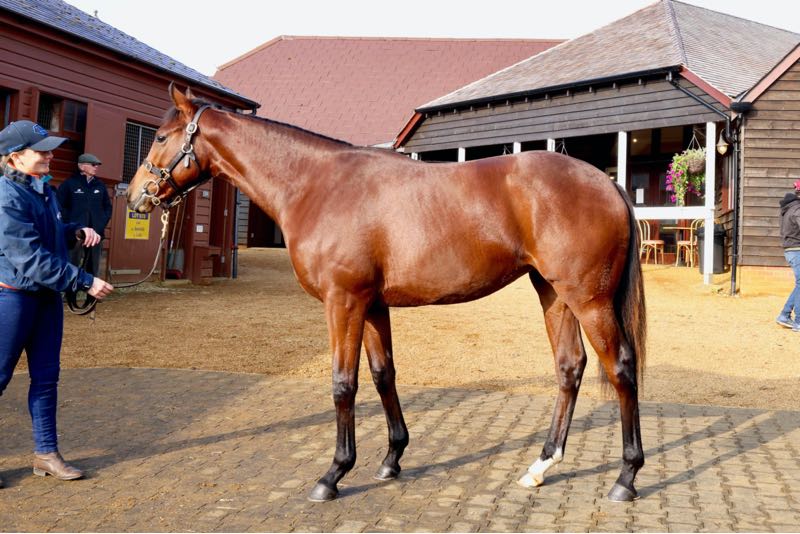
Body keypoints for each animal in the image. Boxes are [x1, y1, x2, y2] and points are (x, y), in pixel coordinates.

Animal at [128, 84, 647, 503]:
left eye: (160, 137)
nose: (135, 196)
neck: (317, 185)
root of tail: (607, 183)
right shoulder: (373, 304)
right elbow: (383, 375)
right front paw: (392, 458)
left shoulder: (344, 301)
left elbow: (344, 383)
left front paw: (334, 474)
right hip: (554, 293)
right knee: (569, 367)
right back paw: (540, 465)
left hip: (589, 300)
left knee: (621, 367)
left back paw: (626, 477)